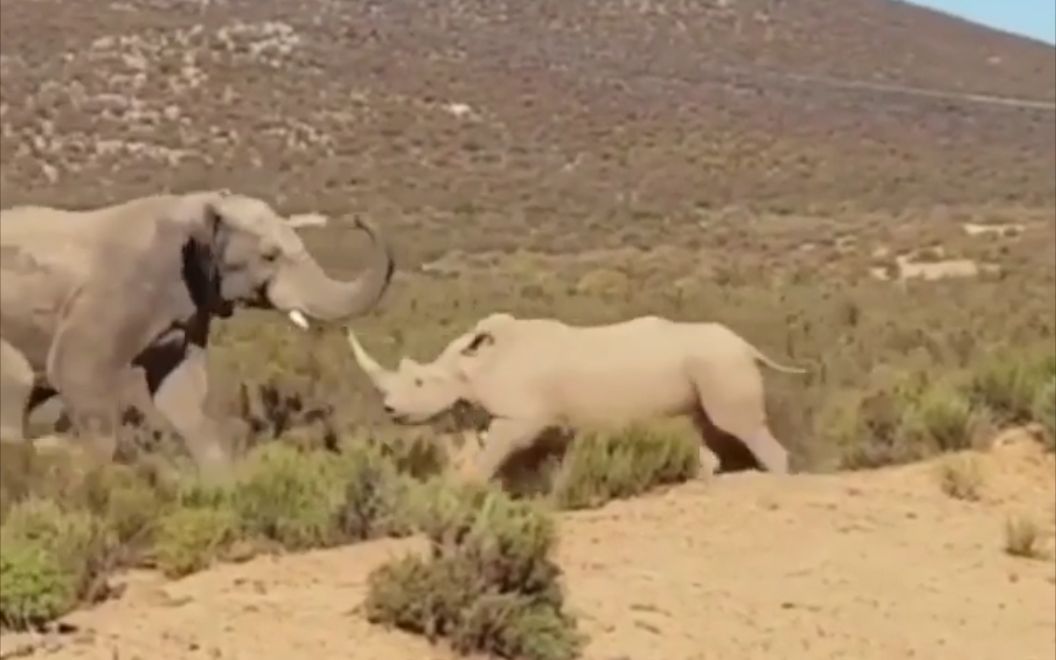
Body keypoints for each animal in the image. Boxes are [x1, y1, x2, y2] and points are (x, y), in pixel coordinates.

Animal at [1, 187, 397, 475]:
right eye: (269, 256)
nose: (355, 217)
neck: (199, 207)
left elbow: (183, 394)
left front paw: (223, 488)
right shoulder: (113, 295)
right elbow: (76, 372)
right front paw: (86, 484)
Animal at [344, 310, 798, 481]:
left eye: (421, 383)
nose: (390, 409)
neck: (474, 365)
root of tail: (746, 345)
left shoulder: (520, 417)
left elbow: (494, 453)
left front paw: (466, 489)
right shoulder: (558, 421)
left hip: (721, 362)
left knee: (737, 424)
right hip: (705, 368)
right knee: (698, 429)